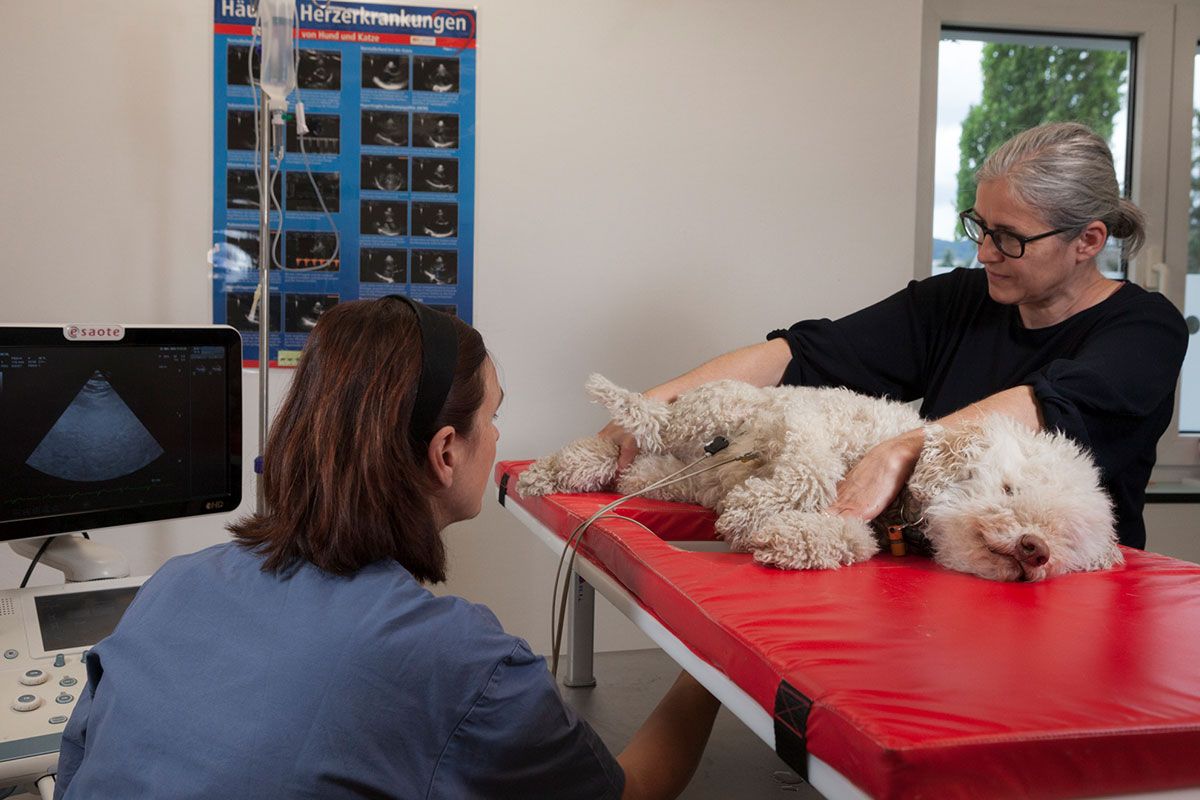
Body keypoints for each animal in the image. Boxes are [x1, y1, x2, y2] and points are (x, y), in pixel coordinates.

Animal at [520, 376, 1118, 582]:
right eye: (1010, 488)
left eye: (1064, 536)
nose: (1035, 547)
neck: (902, 505)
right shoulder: (806, 422)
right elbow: (810, 471)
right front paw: (752, 510)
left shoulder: (863, 524)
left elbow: (844, 535)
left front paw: (784, 537)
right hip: (712, 408)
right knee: (644, 424)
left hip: (677, 470)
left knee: (633, 469)